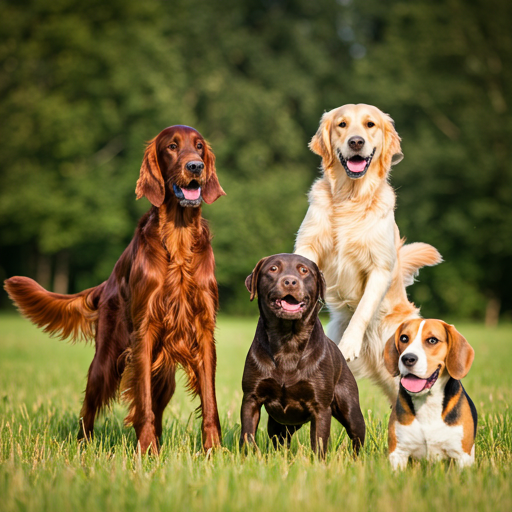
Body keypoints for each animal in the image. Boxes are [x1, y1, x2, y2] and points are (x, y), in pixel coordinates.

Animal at [4, 126, 224, 454]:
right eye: (172, 147)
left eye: (199, 147)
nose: (195, 166)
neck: (178, 237)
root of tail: (107, 282)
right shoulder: (144, 329)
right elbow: (142, 403)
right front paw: (146, 451)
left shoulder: (204, 327)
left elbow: (209, 401)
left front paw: (214, 451)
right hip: (106, 359)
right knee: (88, 407)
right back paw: (84, 446)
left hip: (163, 374)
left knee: (157, 405)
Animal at [240, 252, 364, 456]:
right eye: (273, 268)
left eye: (304, 270)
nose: (290, 282)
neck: (287, 340)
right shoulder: (251, 398)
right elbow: (247, 436)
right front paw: (247, 458)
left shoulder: (320, 407)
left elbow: (319, 443)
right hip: (279, 424)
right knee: (280, 440)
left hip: (351, 410)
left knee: (357, 438)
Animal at [294, 104, 442, 400]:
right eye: (342, 124)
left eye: (370, 124)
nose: (356, 142)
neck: (351, 197)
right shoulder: (308, 245)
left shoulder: (379, 267)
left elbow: (363, 308)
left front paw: (350, 344)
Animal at [384, 320, 476, 468]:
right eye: (404, 338)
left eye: (432, 340)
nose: (407, 358)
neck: (427, 402)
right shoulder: (398, 453)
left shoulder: (463, 457)